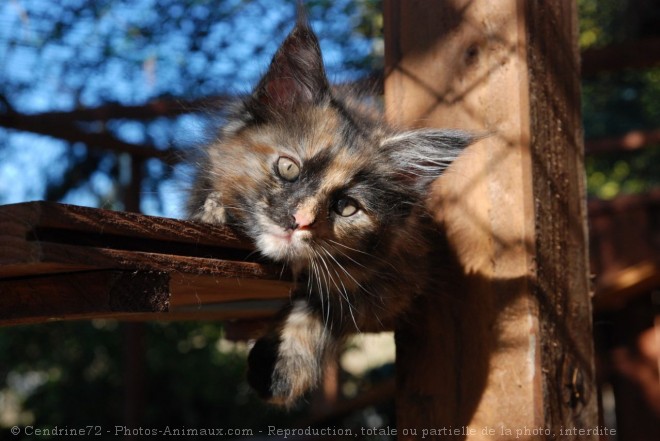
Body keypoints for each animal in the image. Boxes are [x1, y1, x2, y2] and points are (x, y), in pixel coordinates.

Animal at [188, 17, 472, 410]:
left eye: (346, 207)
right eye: (289, 169)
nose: (300, 221)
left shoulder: (399, 280)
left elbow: (326, 306)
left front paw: (281, 370)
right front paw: (215, 211)